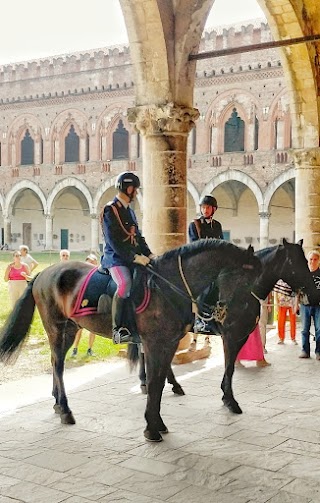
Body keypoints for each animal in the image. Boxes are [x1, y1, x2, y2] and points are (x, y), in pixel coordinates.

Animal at [0, 240, 260, 440]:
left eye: (254, 279)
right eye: (242, 278)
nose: (247, 317)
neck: (168, 285)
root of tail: (42, 274)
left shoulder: (169, 343)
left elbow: (159, 380)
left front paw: (157, 422)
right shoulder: (155, 343)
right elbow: (154, 382)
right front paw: (152, 428)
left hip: (71, 328)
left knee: (56, 363)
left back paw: (57, 403)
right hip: (56, 327)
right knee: (58, 364)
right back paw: (65, 409)